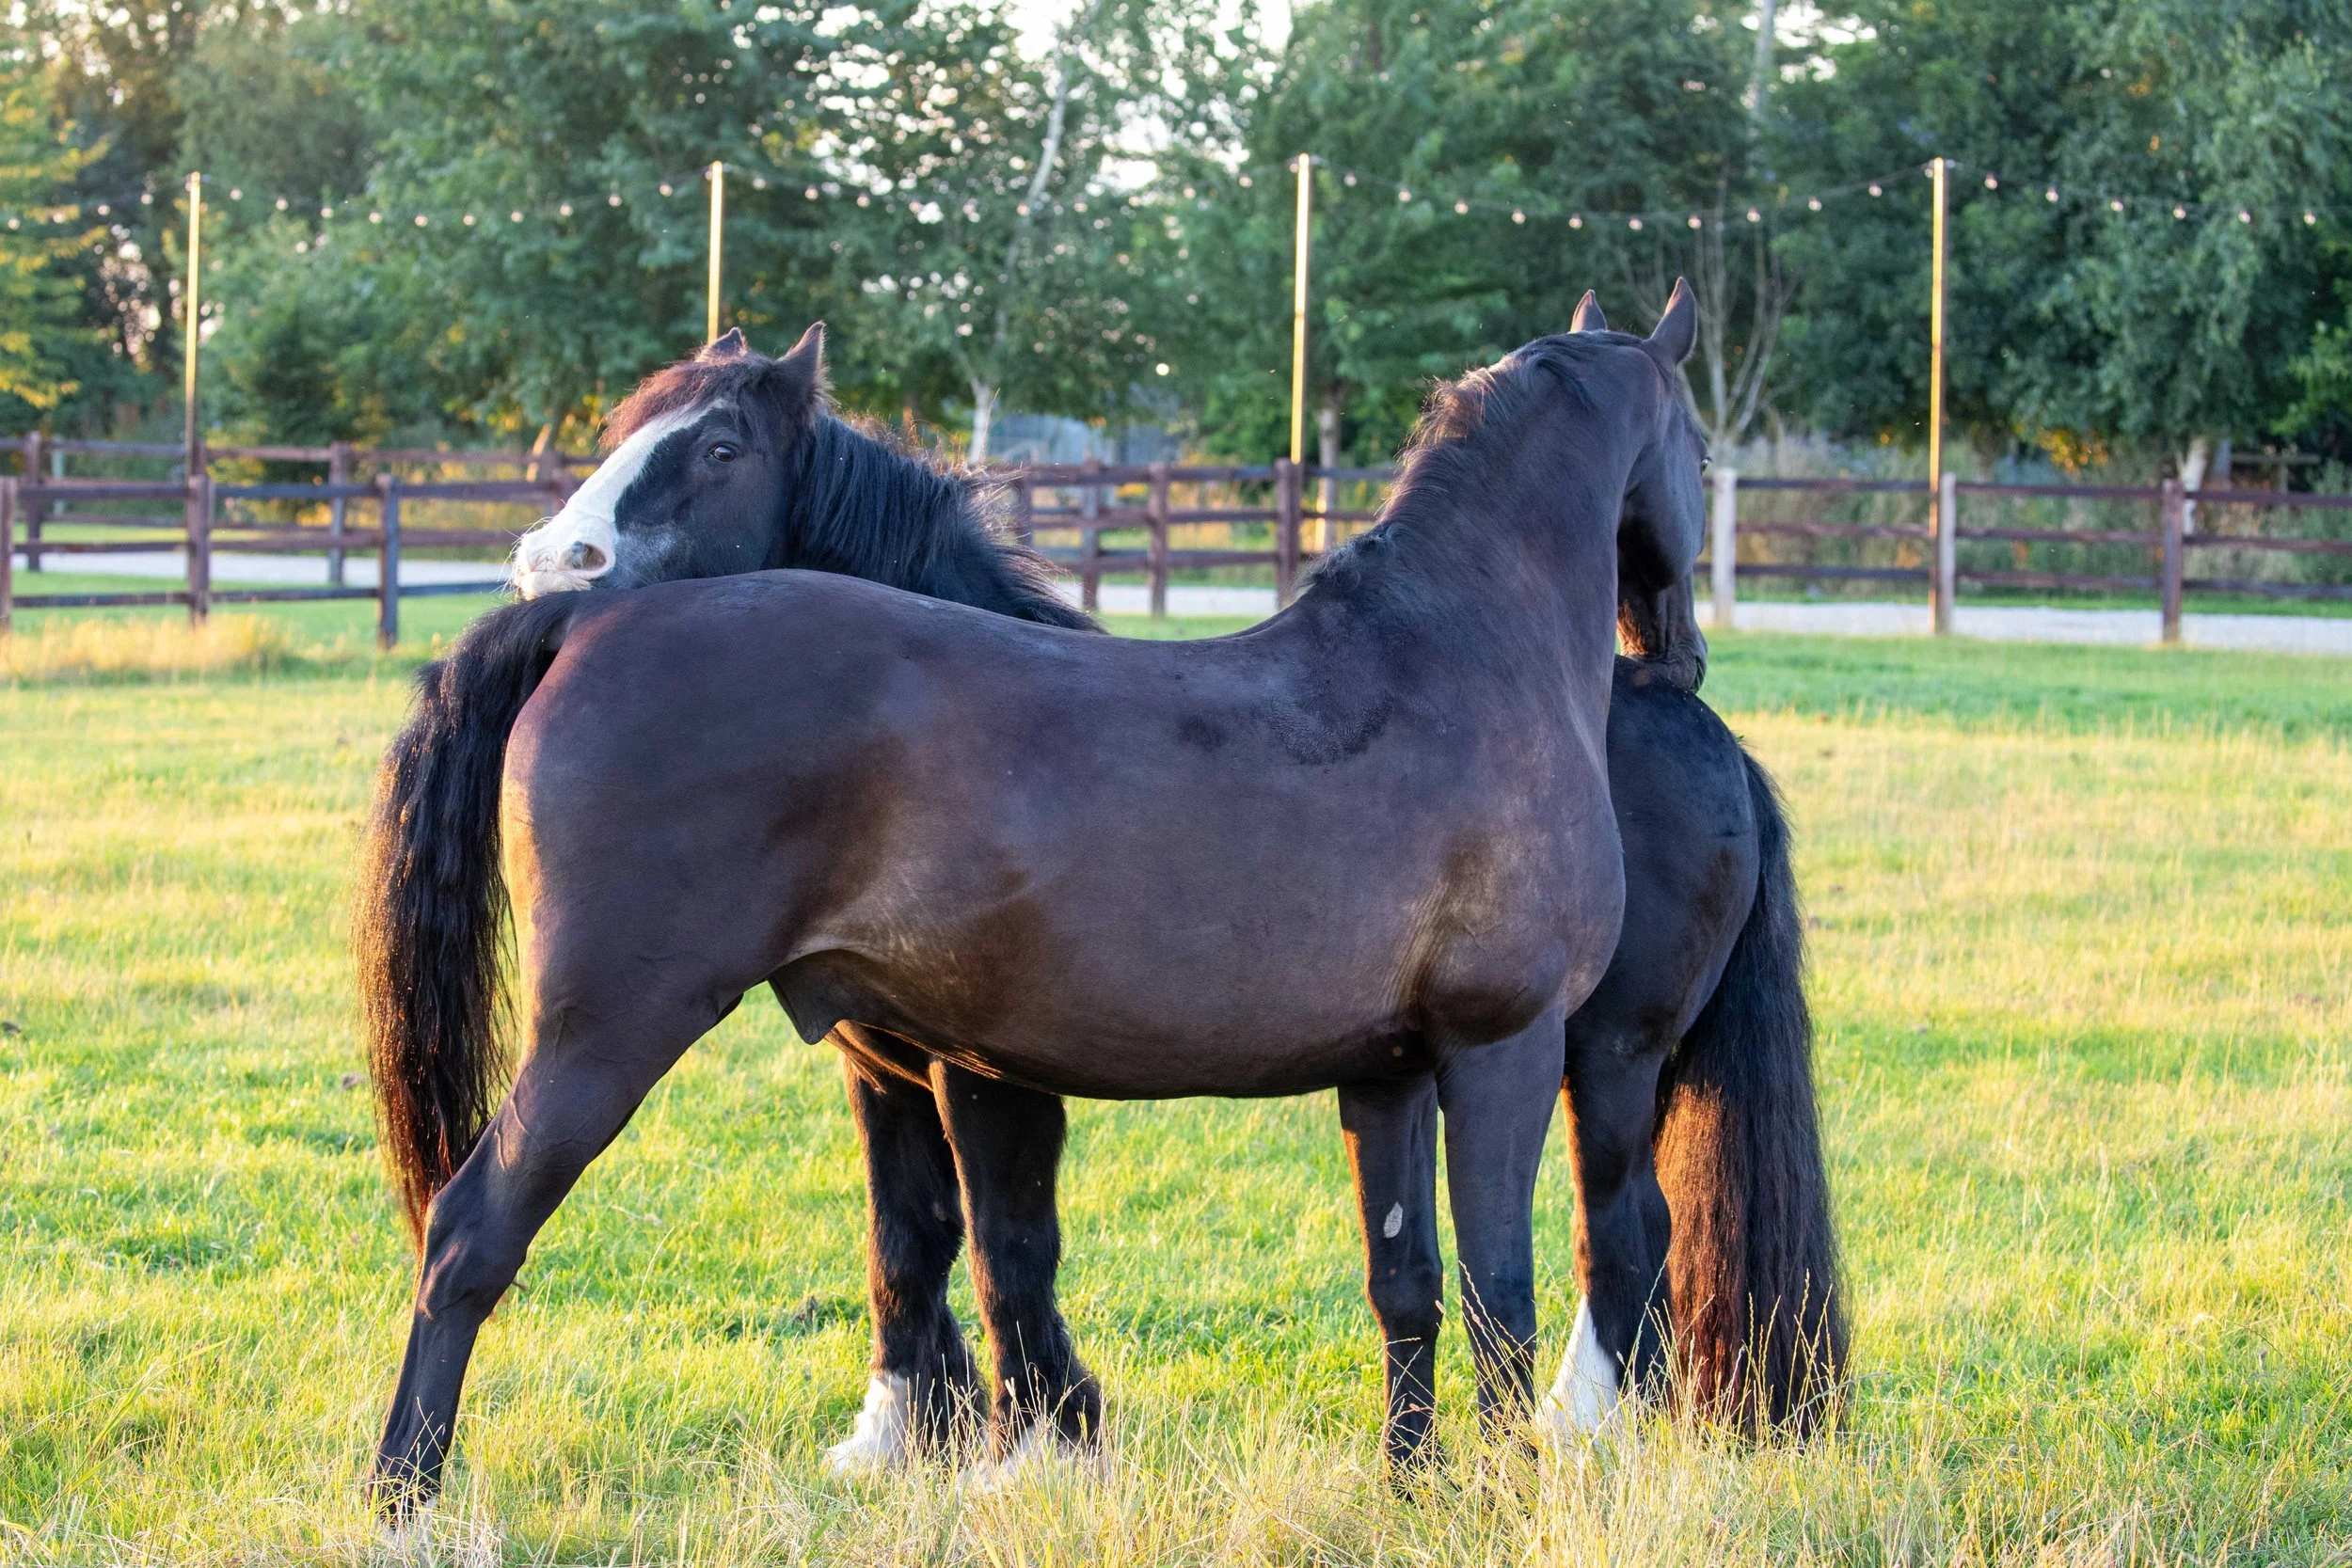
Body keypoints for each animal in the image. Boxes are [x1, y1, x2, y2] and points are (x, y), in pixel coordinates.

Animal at [354, 290, 1725, 1510]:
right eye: (1703, 451)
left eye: (717, 445)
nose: (1679, 642)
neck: (1452, 659)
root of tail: (585, 629)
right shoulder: (1496, 1048)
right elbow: (1493, 1284)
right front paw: (1498, 1489)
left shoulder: (1384, 1072)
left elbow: (1406, 1280)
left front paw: (1413, 1481)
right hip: (606, 1033)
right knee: (469, 1232)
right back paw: (405, 1495)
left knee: (1627, 1227)